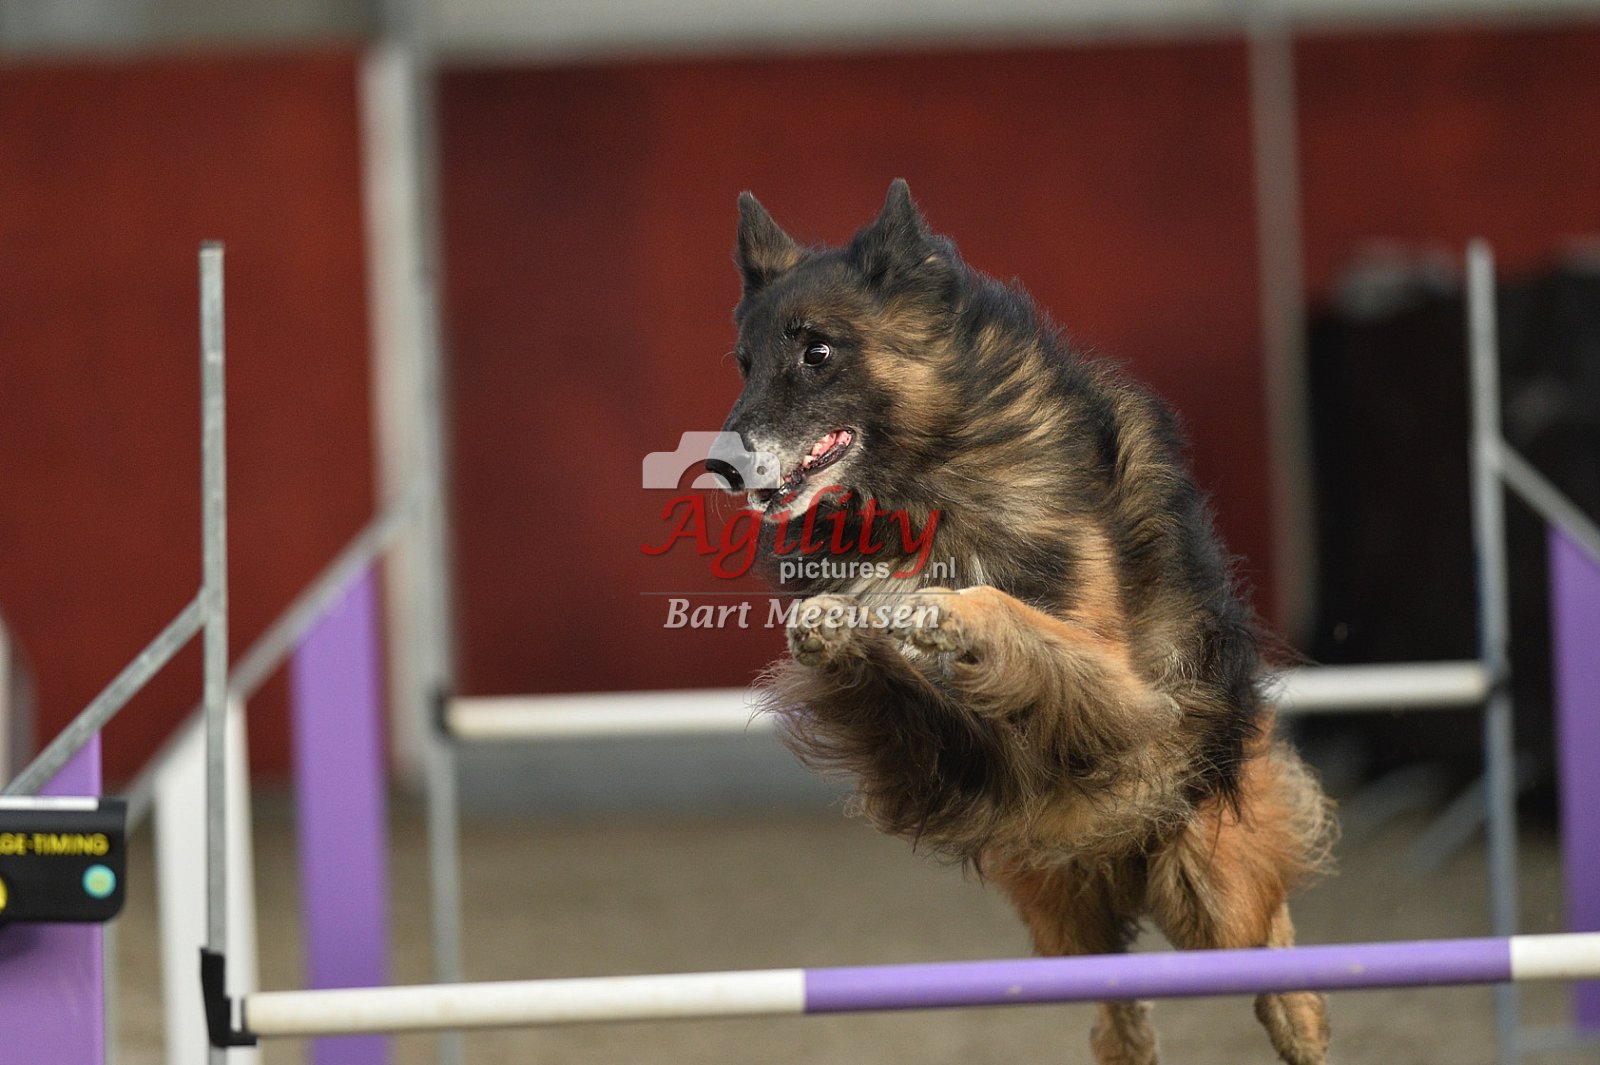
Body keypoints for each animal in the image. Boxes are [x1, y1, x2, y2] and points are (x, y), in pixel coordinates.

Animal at [716, 180, 1336, 1065]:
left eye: (818, 352)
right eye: (744, 361)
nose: (723, 465)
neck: (930, 472)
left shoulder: (1118, 680)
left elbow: (998, 607)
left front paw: (938, 606)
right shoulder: (956, 747)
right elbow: (879, 657)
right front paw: (842, 616)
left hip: (1206, 874)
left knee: (1267, 936)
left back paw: (1301, 1017)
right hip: (1056, 891)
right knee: (1116, 1004)